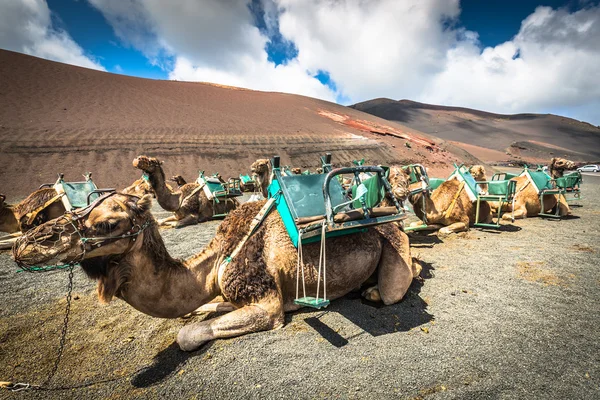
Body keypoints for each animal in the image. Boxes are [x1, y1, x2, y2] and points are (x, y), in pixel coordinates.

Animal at [16, 192, 424, 352]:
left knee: (394, 287)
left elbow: (187, 335)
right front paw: (207, 307)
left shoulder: (265, 301)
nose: (28, 243)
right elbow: (202, 309)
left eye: (107, 223)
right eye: (79, 207)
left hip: (392, 248)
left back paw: (373, 290)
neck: (216, 261)